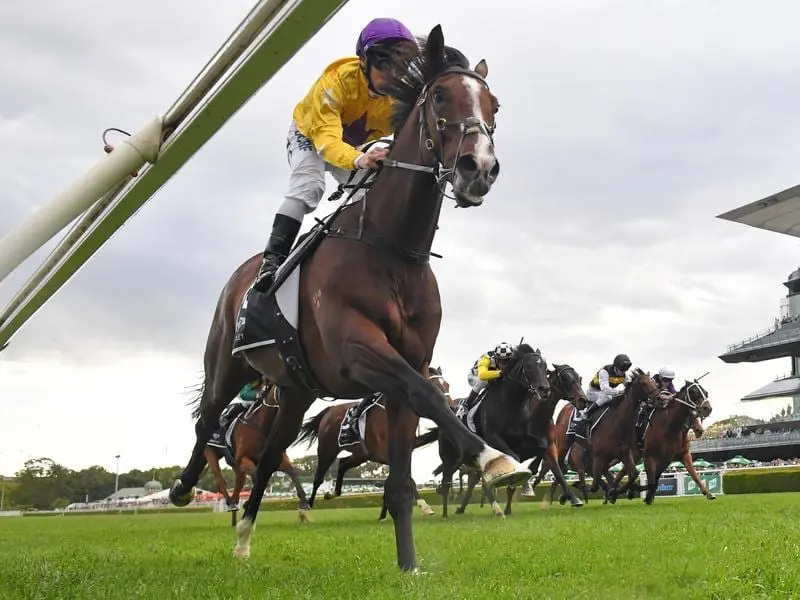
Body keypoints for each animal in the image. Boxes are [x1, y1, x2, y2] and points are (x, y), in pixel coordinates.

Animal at [203, 384, 310, 524]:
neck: (260, 426)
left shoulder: (276, 458)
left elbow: (292, 472)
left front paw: (304, 502)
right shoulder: (244, 459)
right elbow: (257, 478)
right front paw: (248, 504)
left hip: (233, 462)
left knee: (240, 480)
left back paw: (235, 501)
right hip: (211, 452)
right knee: (220, 480)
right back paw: (230, 503)